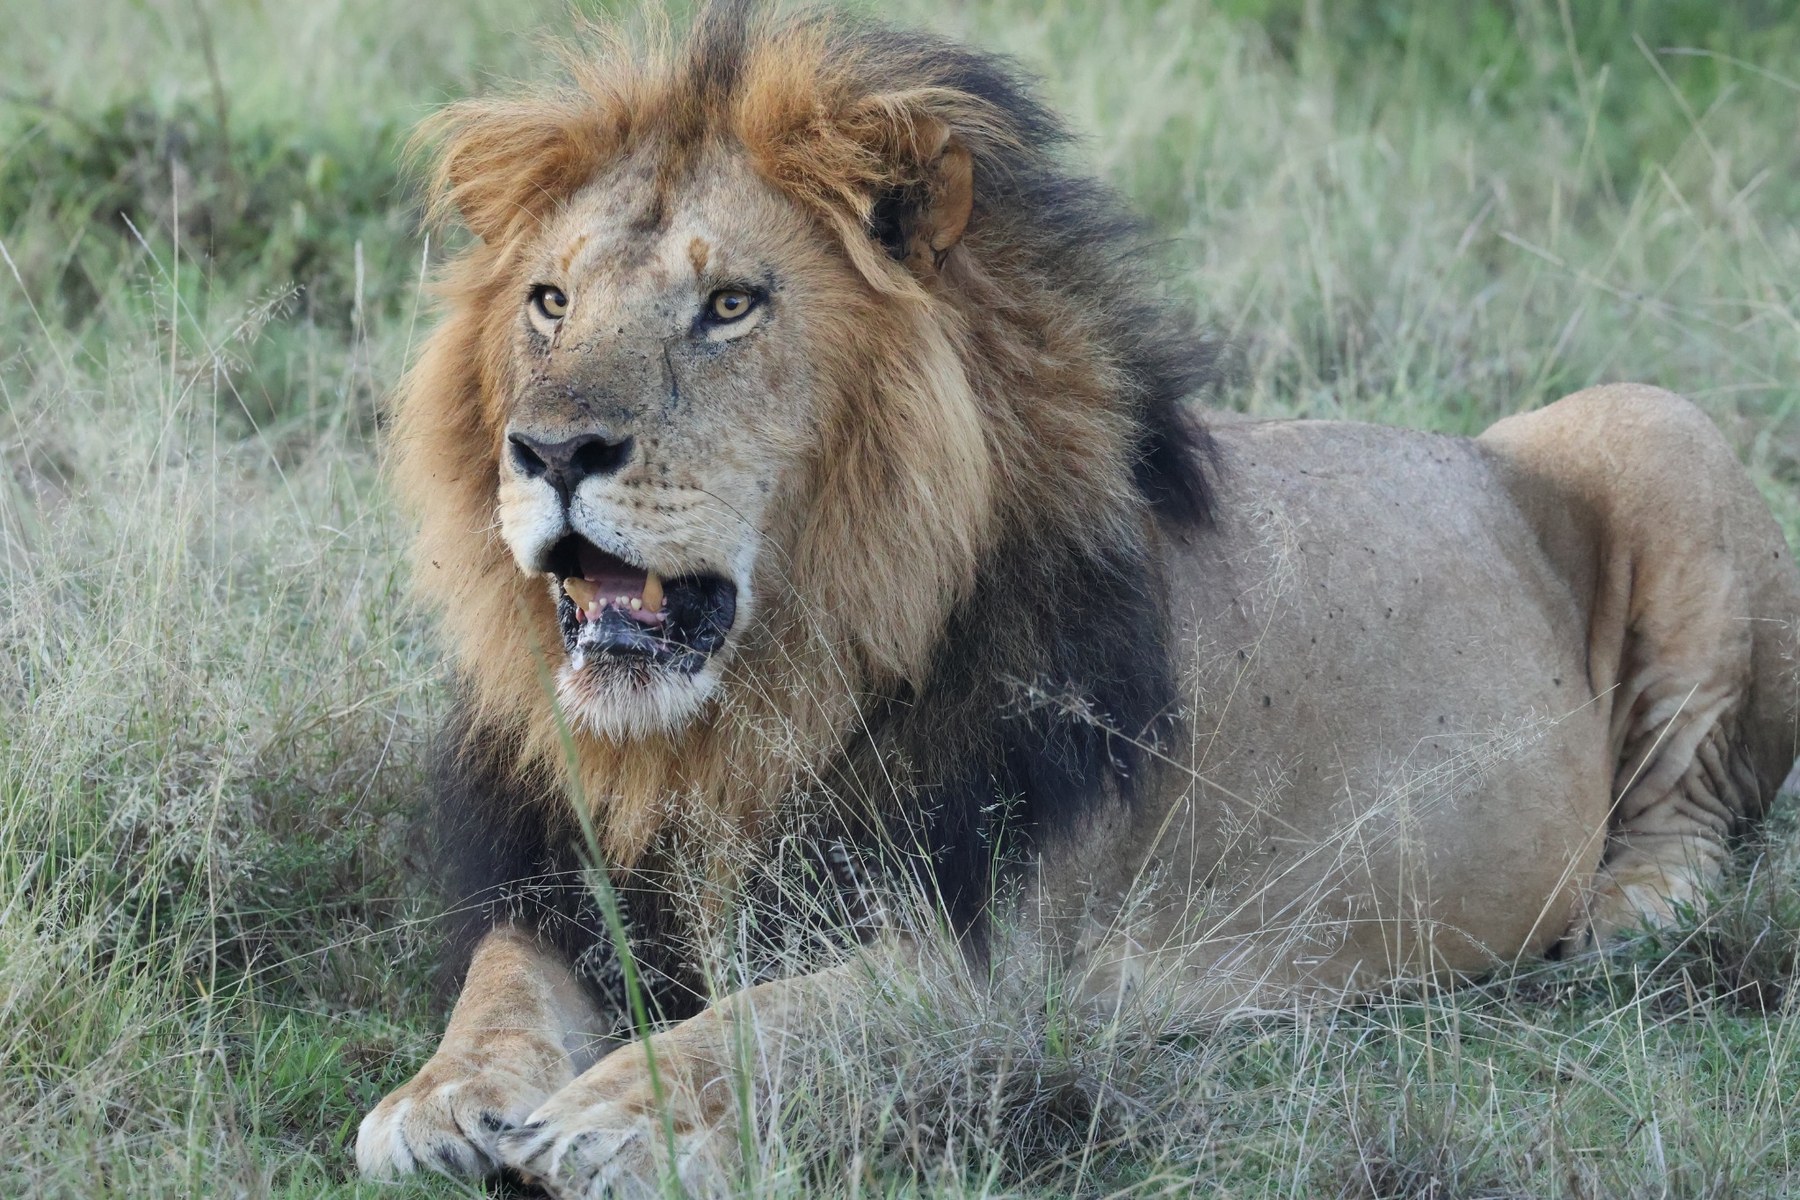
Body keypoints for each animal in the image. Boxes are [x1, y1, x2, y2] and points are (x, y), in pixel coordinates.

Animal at [354, 3, 1800, 1195]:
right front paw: (440, 1100)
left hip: (1654, 429)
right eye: (549, 300)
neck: (721, 740)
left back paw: (1619, 914)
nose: (550, 451)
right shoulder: (559, 882)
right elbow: (498, 989)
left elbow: (793, 1019)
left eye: (729, 305)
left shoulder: (1005, 971)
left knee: (1697, 812)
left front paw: (625, 1116)